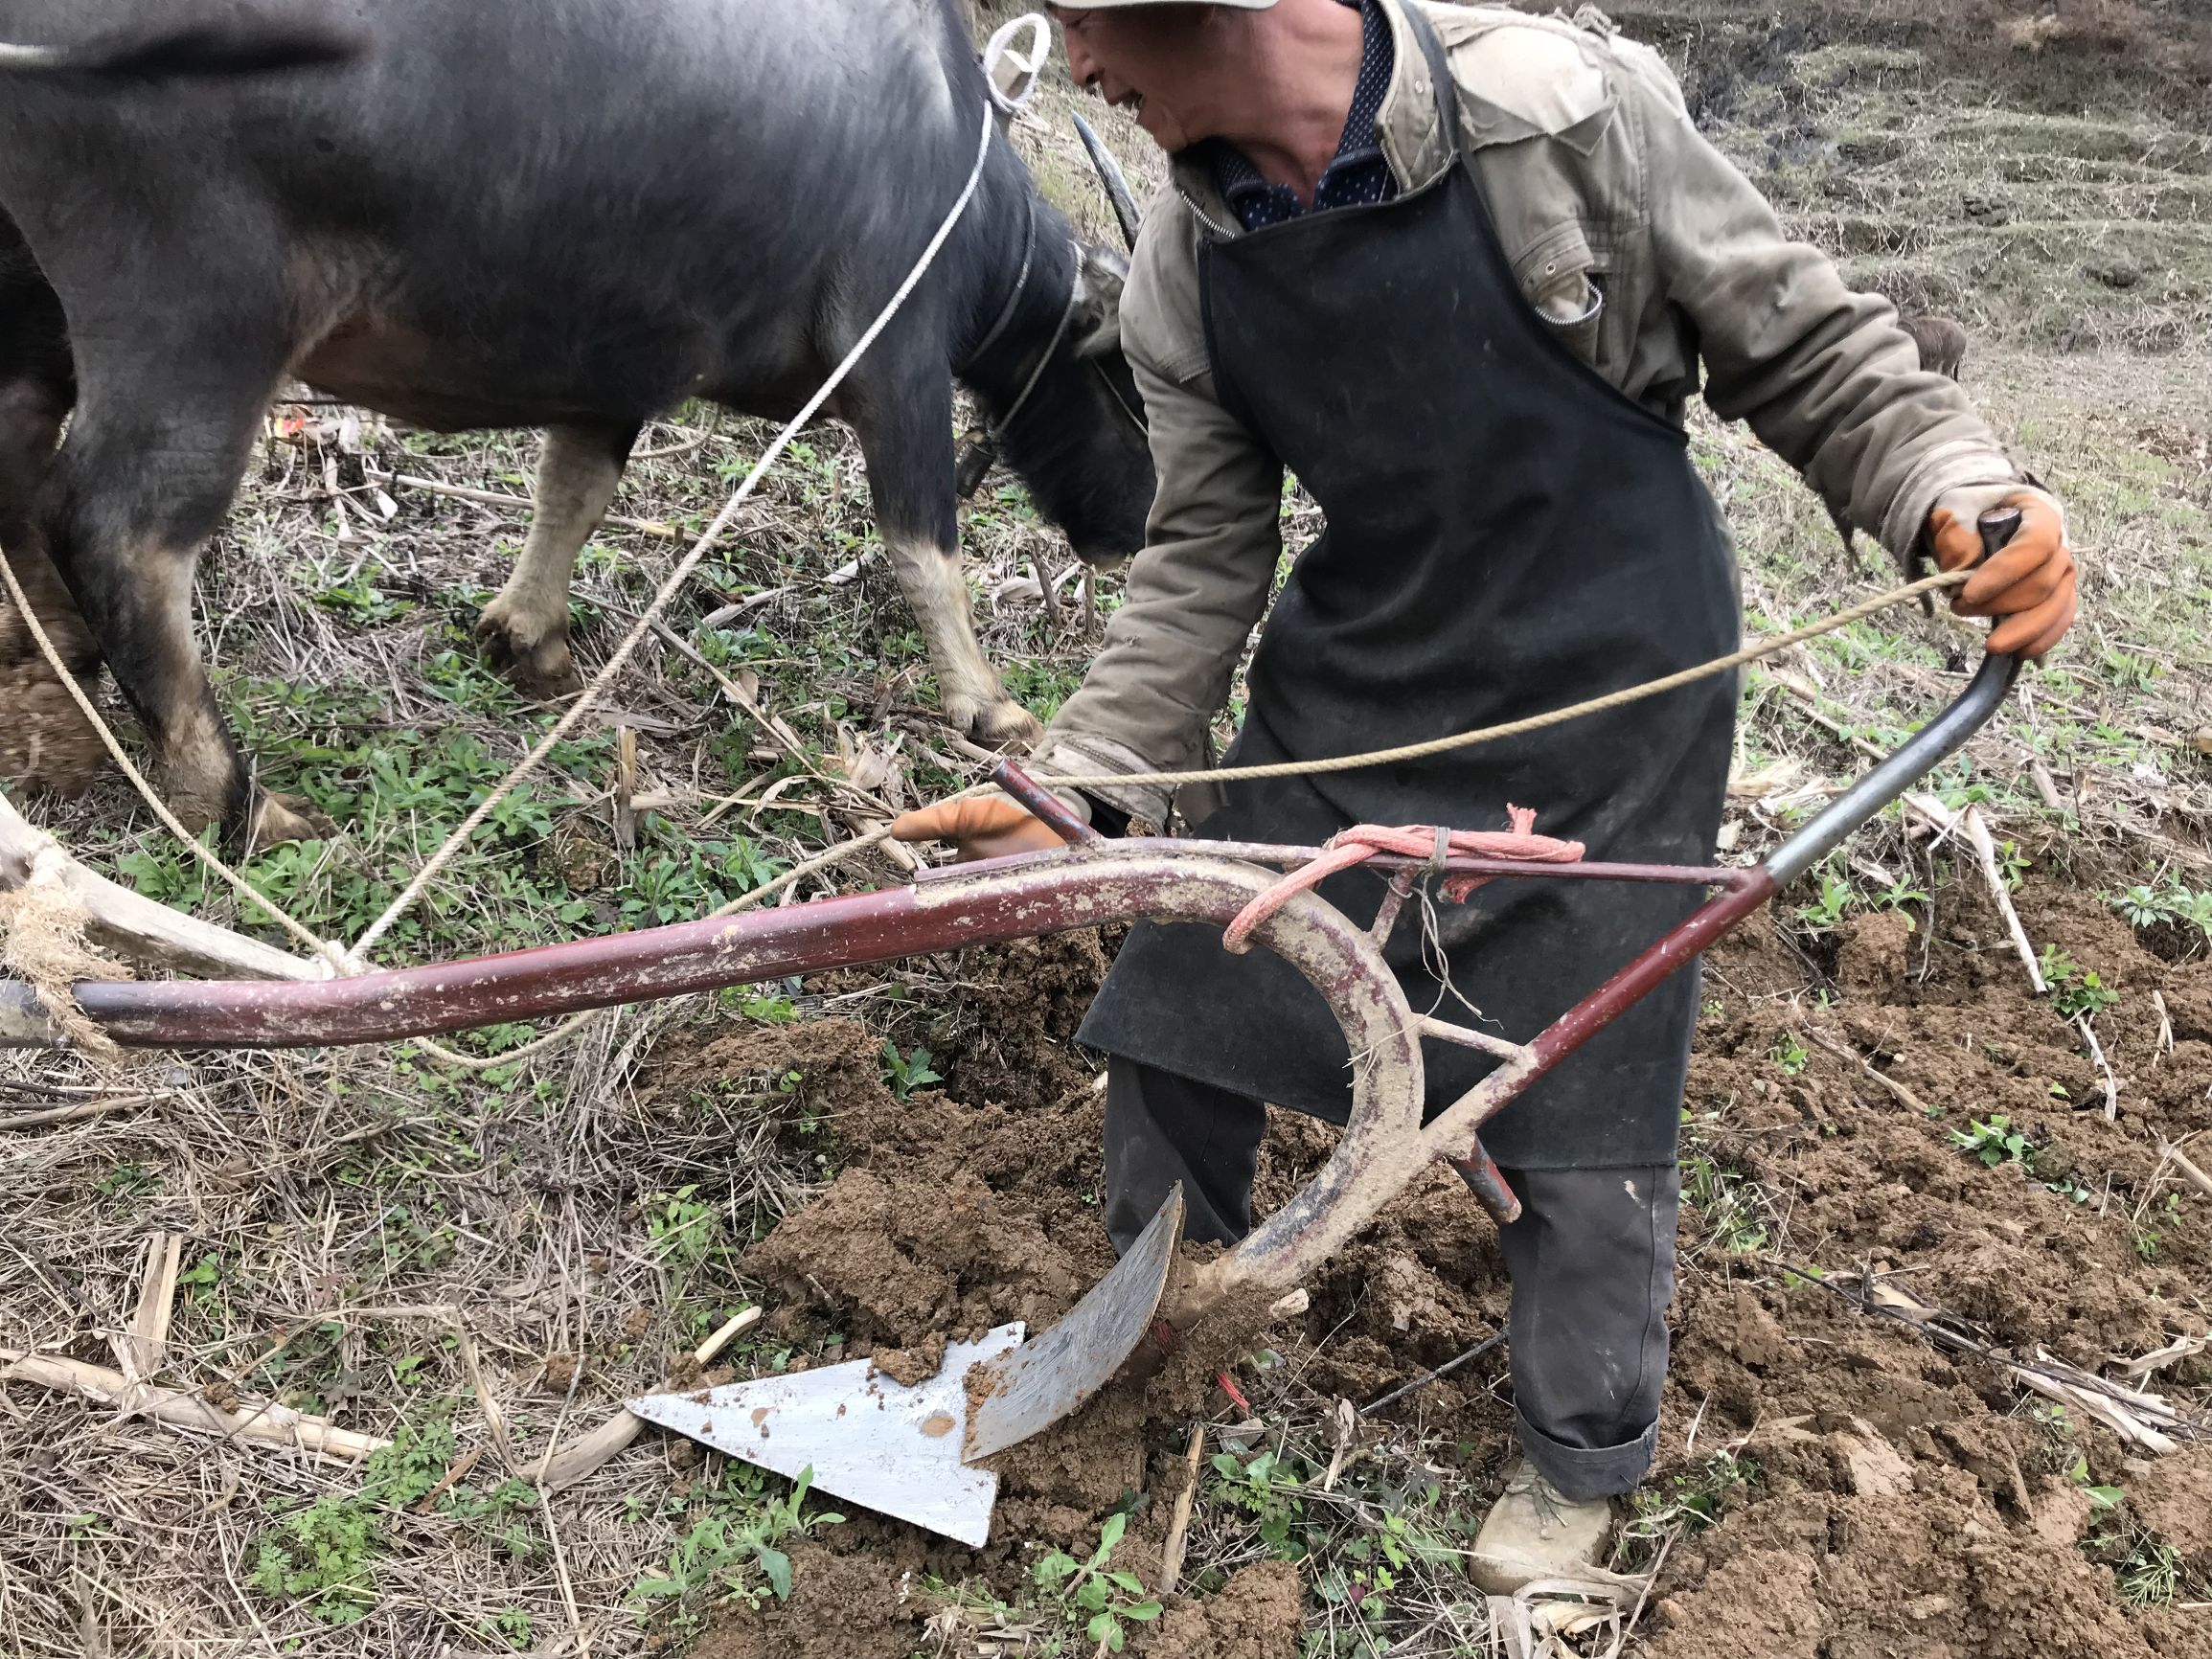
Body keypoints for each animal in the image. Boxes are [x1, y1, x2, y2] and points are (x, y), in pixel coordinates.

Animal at [0, 0, 1150, 849]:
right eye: (1134, 387)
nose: (1133, 531)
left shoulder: (620, 361)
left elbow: (575, 489)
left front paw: (528, 638)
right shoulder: (898, 366)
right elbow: (926, 549)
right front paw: (990, 707)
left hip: (37, 305)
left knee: (18, 448)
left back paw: (53, 679)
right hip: (204, 317)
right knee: (121, 532)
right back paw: (237, 801)